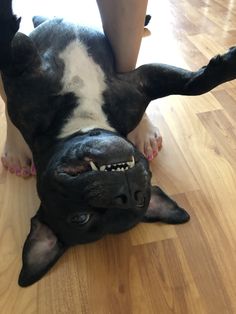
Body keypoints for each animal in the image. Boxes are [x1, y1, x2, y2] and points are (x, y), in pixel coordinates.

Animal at [0, 0, 236, 288]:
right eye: (80, 218)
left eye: (141, 198)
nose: (127, 194)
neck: (82, 123)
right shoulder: (22, 89)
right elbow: (11, 50)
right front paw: (7, 22)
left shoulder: (140, 85)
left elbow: (194, 84)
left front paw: (229, 66)